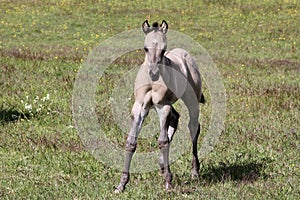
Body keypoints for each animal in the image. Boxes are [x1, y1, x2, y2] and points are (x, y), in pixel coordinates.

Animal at [115, 19, 206, 192]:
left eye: (163, 49)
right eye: (145, 48)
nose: (154, 73)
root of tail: (184, 54)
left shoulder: (162, 106)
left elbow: (162, 141)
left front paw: (168, 183)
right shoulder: (139, 107)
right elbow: (131, 143)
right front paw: (121, 185)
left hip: (191, 100)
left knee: (193, 128)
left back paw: (194, 172)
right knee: (175, 118)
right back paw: (162, 164)